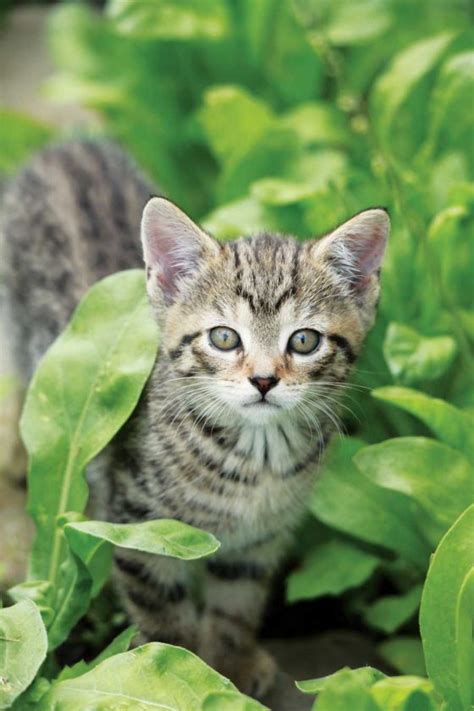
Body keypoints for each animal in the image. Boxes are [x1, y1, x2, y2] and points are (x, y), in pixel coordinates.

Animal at [0, 142, 388, 700]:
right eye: (224, 338)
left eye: (304, 340)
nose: (264, 380)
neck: (256, 459)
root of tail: (68, 146)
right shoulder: (137, 529)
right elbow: (166, 623)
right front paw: (174, 676)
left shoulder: (258, 542)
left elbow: (235, 610)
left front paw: (232, 665)